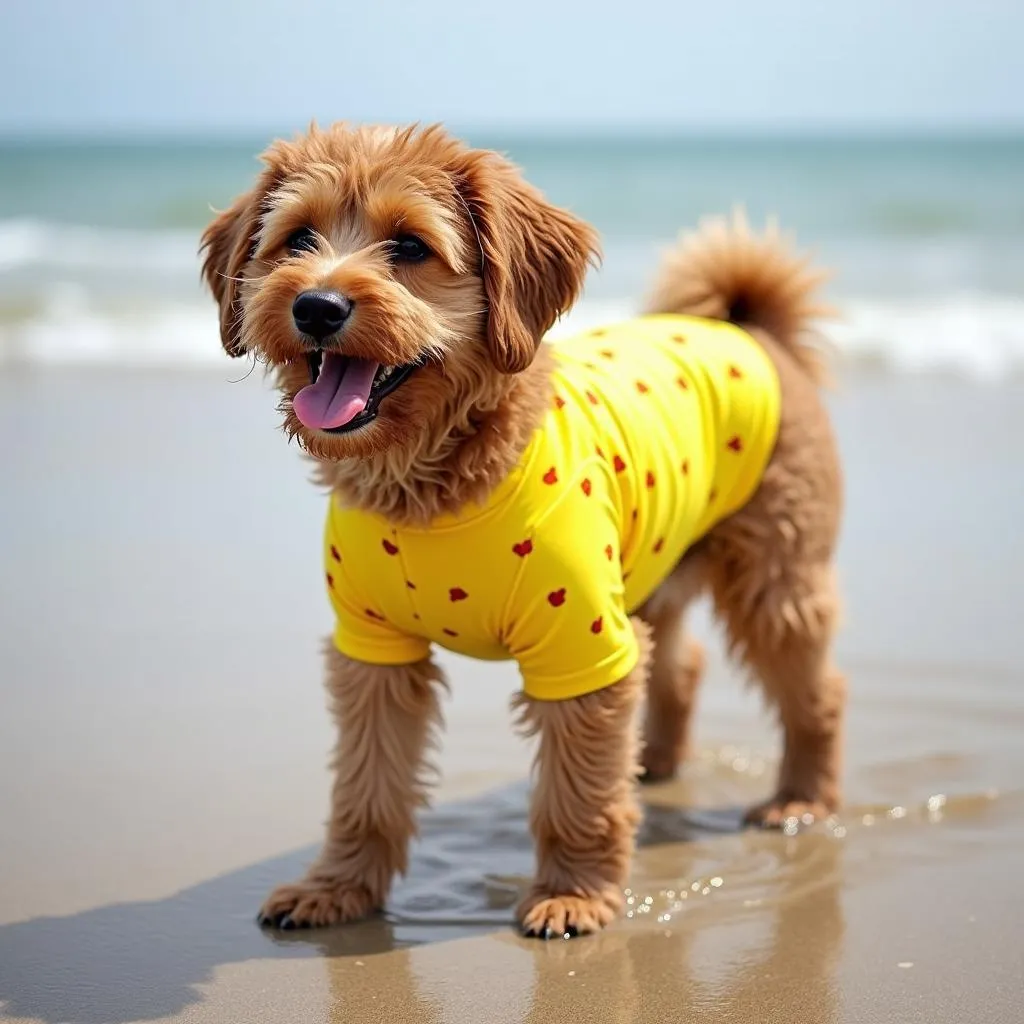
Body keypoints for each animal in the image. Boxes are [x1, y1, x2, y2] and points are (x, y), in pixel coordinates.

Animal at [201, 123, 847, 937]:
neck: (433, 487)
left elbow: (578, 796)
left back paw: (802, 799)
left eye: (409, 246)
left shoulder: (585, 647)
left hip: (774, 580)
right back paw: (656, 761)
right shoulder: (372, 650)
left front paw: (572, 894)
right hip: (651, 571)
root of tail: (746, 326)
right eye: (297, 238)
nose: (316, 306)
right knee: (680, 664)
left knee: (817, 691)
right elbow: (365, 788)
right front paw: (338, 887)